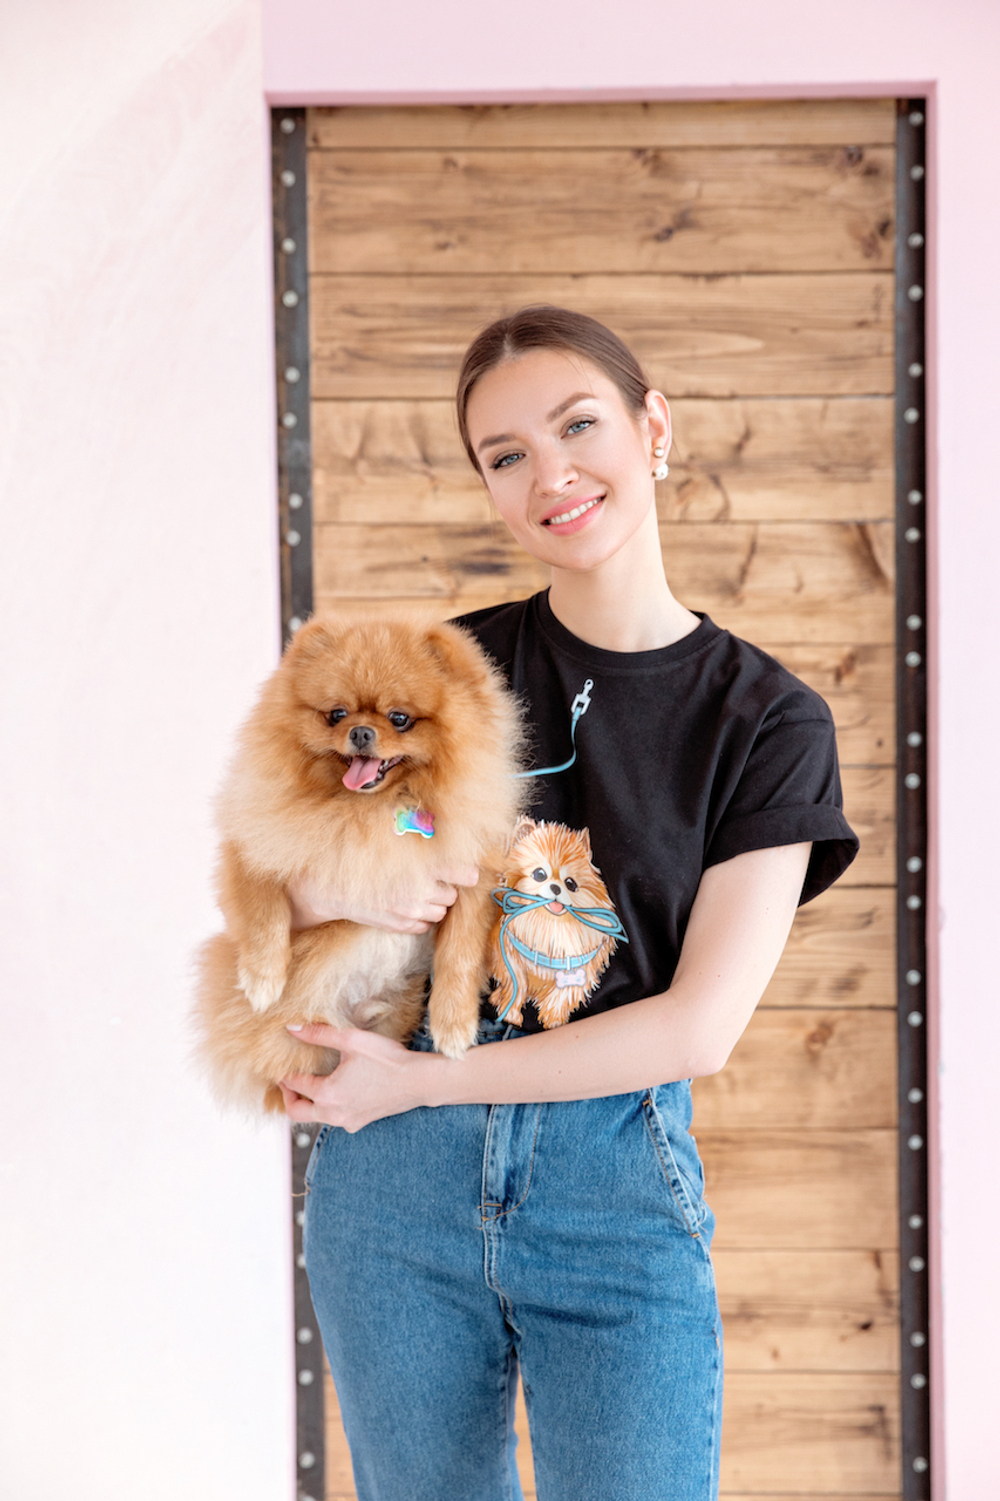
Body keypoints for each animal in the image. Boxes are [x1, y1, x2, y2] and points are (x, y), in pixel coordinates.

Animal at [189, 612, 525, 1116]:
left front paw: (452, 1026)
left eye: (400, 718)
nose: (362, 732)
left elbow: (458, 955)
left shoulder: (472, 876)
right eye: (337, 714)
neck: (373, 808)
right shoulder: (258, 840)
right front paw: (263, 978)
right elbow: (264, 906)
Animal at [489, 822, 627, 1032]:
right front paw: (511, 1014)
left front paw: (553, 1021)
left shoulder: (578, 974)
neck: (551, 926)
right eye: (540, 874)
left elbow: (560, 998)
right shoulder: (510, 960)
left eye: (570, 884)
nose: (556, 888)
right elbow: (516, 986)